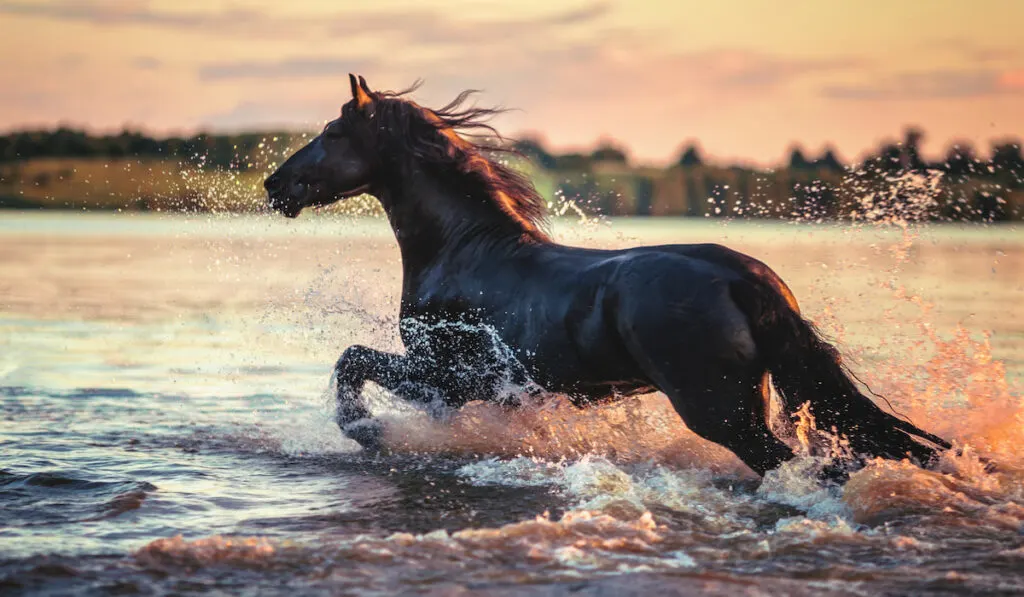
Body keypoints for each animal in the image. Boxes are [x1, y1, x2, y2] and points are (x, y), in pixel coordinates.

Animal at [264, 74, 950, 477]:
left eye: (332, 131)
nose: (274, 185)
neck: (464, 251)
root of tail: (747, 280)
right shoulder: (459, 389)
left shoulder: (450, 377)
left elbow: (350, 361)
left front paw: (369, 432)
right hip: (752, 403)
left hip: (718, 410)